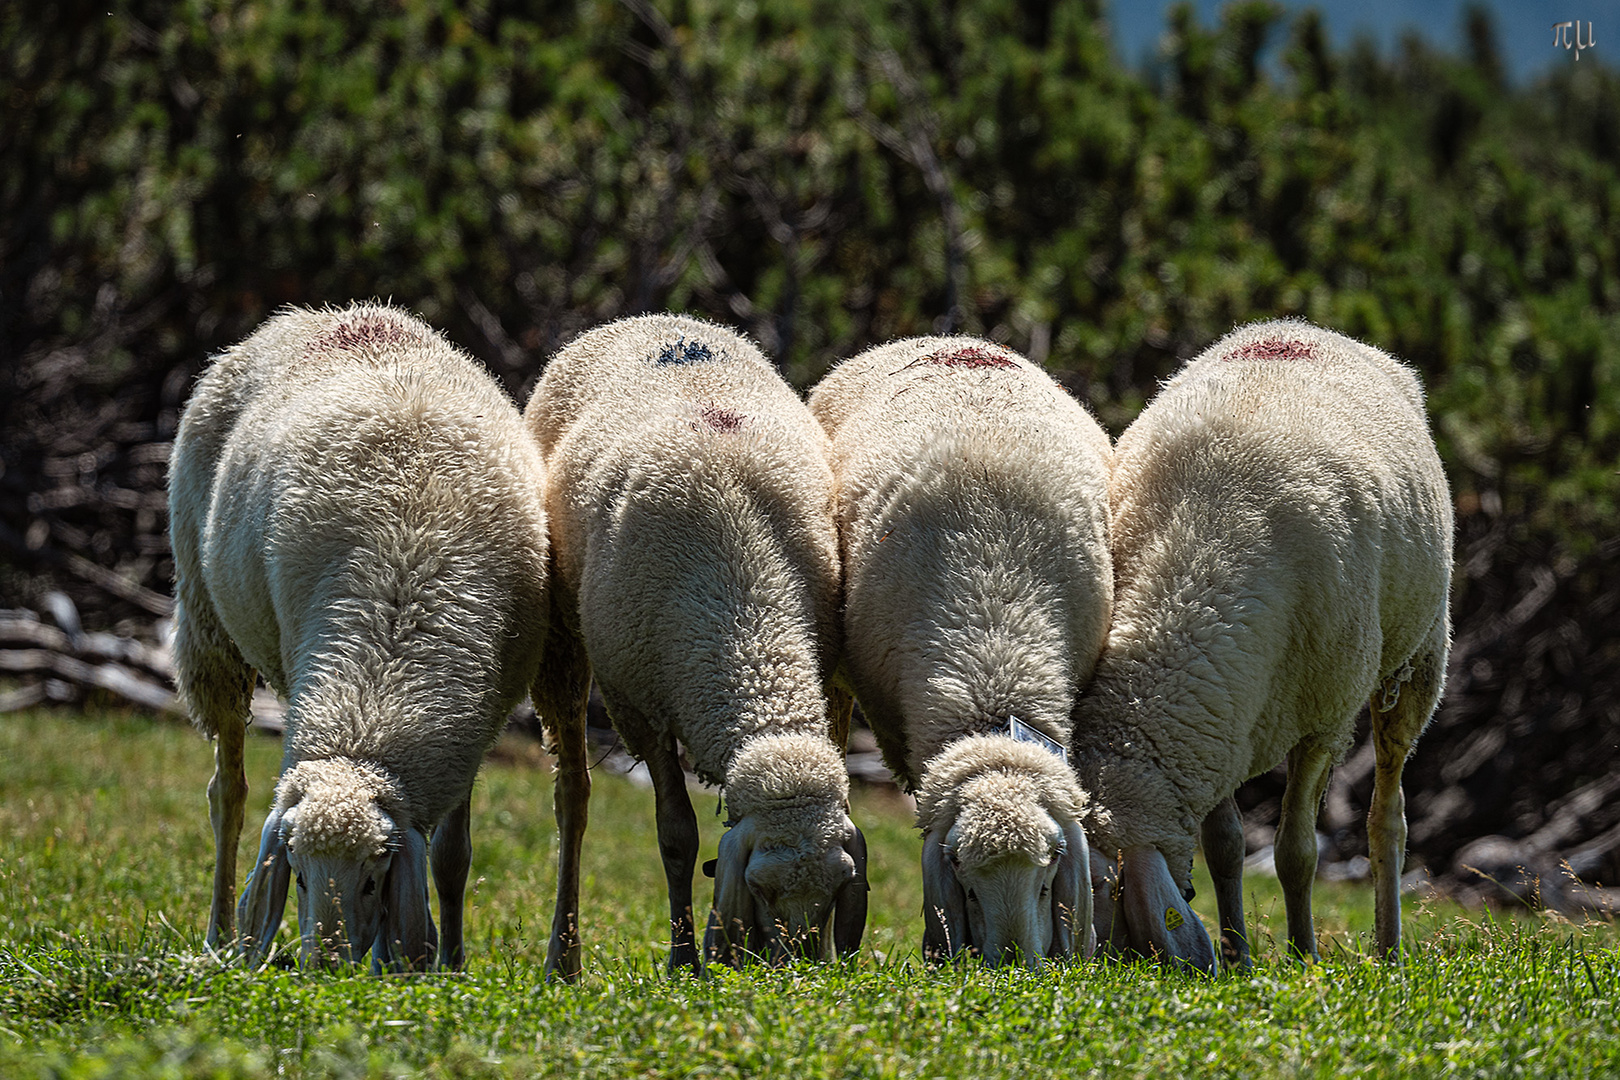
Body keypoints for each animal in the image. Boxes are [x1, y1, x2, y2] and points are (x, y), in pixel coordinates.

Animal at [168, 304, 550, 971]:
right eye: (297, 877)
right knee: (228, 795)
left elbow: (451, 858)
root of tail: (322, 313)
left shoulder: (481, 723)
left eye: (374, 880)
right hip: (207, 622)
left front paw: (446, 962)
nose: (327, 970)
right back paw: (220, 936)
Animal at [524, 310, 868, 977]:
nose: (799, 973)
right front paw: (684, 958)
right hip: (563, 638)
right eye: (759, 889)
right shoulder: (638, 707)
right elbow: (677, 835)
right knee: (572, 797)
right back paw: (563, 959)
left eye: (839, 888)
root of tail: (652, 317)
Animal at [1075, 320, 1458, 971]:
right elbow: (1226, 846)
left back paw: (1388, 949)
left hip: (1419, 656)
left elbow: (1296, 852)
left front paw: (1303, 955)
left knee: (1388, 818)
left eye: (1106, 902)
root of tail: (1297, 327)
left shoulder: (1324, 721)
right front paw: (1237, 958)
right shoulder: (1224, 716)